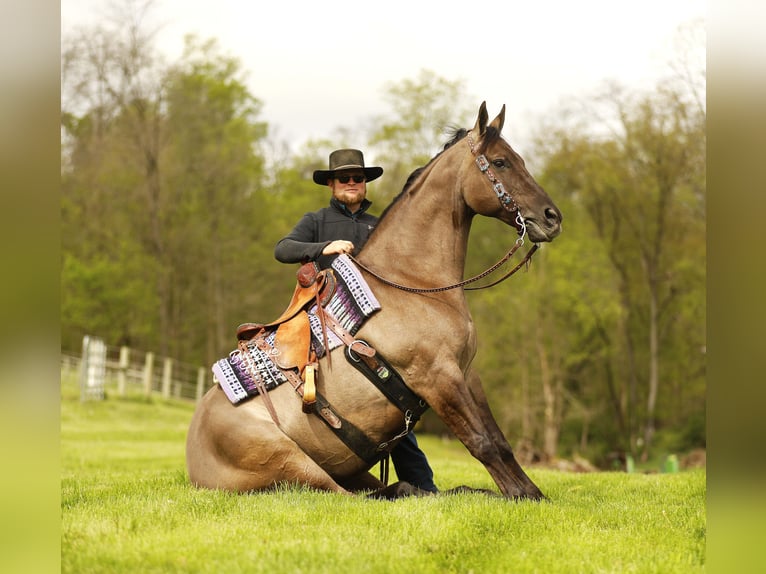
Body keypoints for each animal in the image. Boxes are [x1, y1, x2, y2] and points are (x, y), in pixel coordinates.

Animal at [186, 102, 563, 500]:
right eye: (501, 162)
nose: (552, 217)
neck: (413, 283)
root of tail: (194, 457)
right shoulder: (438, 377)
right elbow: (482, 443)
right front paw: (519, 495)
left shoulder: (466, 373)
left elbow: (499, 440)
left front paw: (531, 492)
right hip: (296, 464)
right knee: (349, 494)